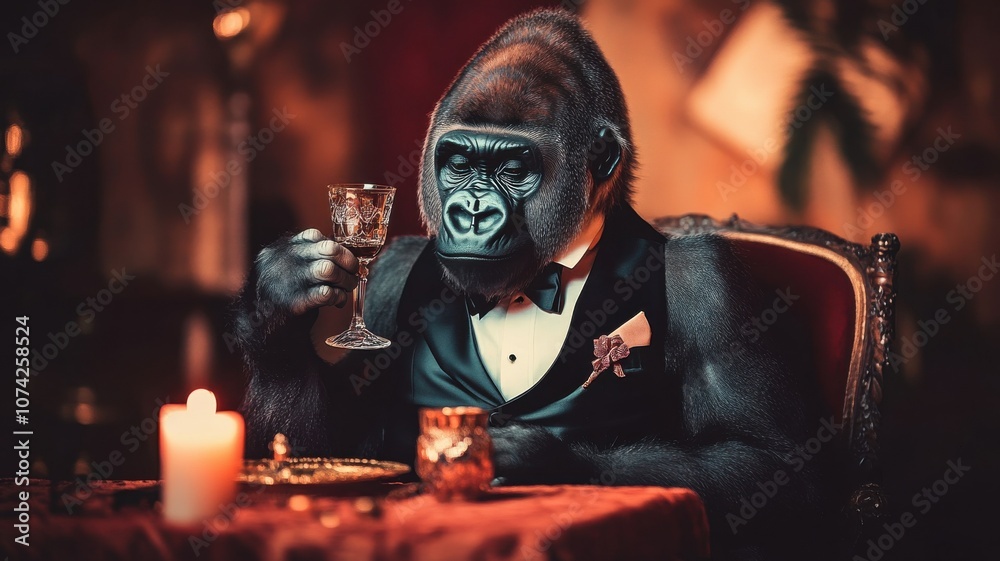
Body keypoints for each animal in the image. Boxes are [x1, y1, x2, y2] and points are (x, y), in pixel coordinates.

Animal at [234, 9, 836, 559]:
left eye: (513, 169)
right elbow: (329, 445)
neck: (537, 277)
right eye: (458, 162)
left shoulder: (709, 279)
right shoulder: (392, 270)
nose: (472, 213)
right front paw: (280, 298)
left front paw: (537, 458)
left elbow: (763, 461)